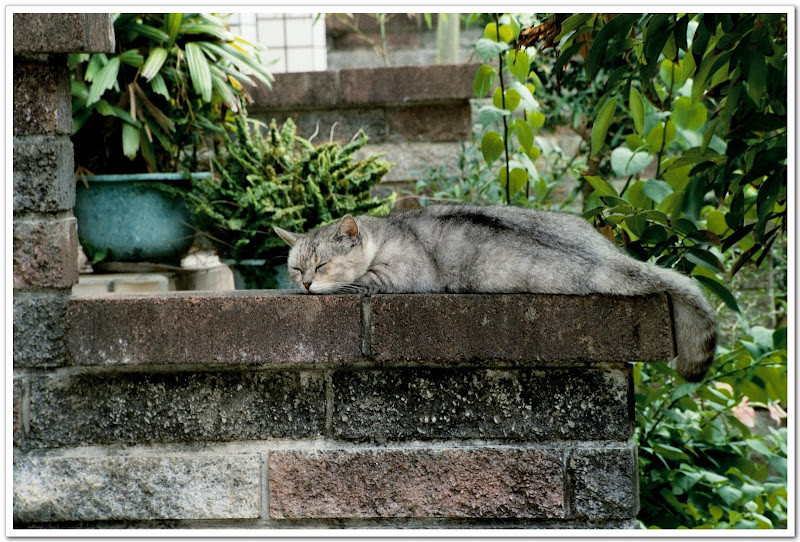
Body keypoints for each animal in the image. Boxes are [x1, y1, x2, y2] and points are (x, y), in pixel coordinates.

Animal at [274, 205, 717, 381]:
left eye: (321, 266)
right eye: (297, 268)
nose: (306, 283)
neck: (387, 232)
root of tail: (608, 256)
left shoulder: (398, 276)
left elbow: (360, 282)